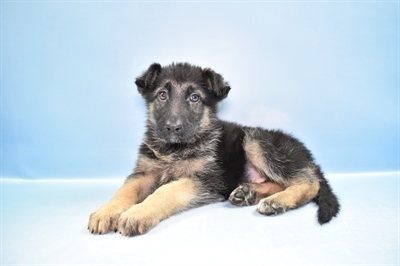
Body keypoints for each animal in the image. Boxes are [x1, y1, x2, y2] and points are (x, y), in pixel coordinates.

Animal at [88, 62, 340, 237]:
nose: (172, 127)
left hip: (256, 141)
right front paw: (107, 211)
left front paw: (138, 212)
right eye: (162, 95)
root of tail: (309, 158)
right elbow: (125, 190)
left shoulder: (204, 180)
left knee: (310, 183)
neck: (174, 150)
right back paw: (249, 192)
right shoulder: (145, 172)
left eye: (194, 98)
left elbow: (167, 191)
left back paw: (277, 201)